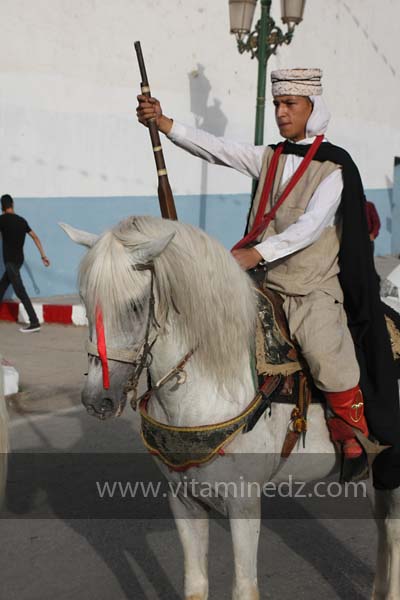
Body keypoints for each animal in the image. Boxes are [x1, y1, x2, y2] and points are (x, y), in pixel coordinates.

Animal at [61, 217, 400, 600]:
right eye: (84, 300)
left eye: (134, 306)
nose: (97, 400)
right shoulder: (184, 501)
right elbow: (195, 584)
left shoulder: (244, 503)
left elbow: (244, 587)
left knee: (393, 530)